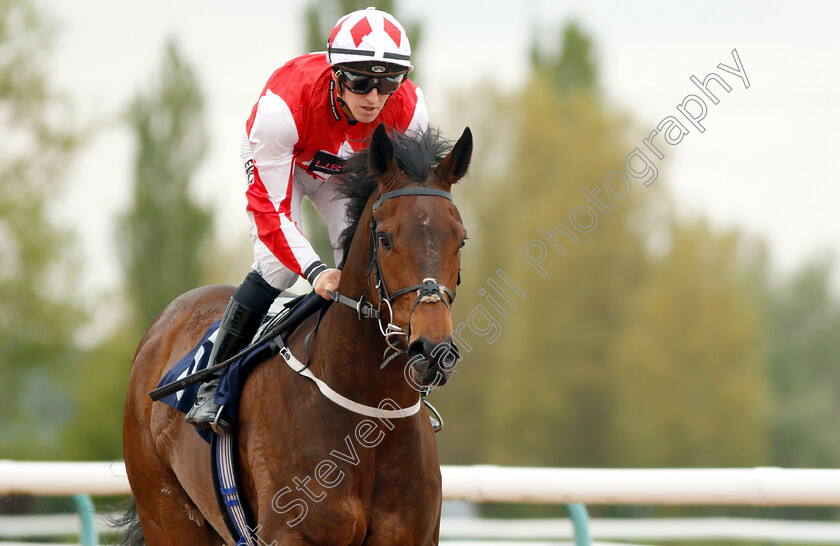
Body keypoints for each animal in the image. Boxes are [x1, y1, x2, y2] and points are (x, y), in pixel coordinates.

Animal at [120, 124, 472, 544]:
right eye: (385, 238)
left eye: (461, 239)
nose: (432, 351)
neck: (368, 416)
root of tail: (162, 327)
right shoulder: (290, 534)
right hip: (165, 511)